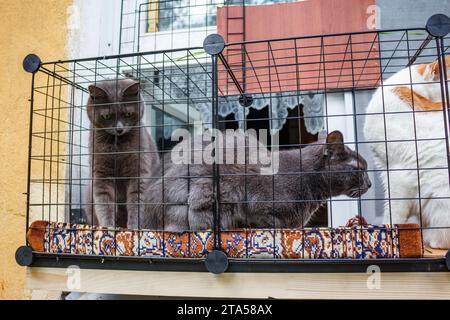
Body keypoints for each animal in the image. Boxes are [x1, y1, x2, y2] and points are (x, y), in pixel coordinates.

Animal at [84, 79, 160, 229]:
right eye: (107, 116)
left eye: (128, 114)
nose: (119, 129)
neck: (117, 146)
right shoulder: (101, 173)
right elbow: (104, 202)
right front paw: (108, 227)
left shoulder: (138, 171)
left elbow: (136, 201)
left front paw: (133, 228)